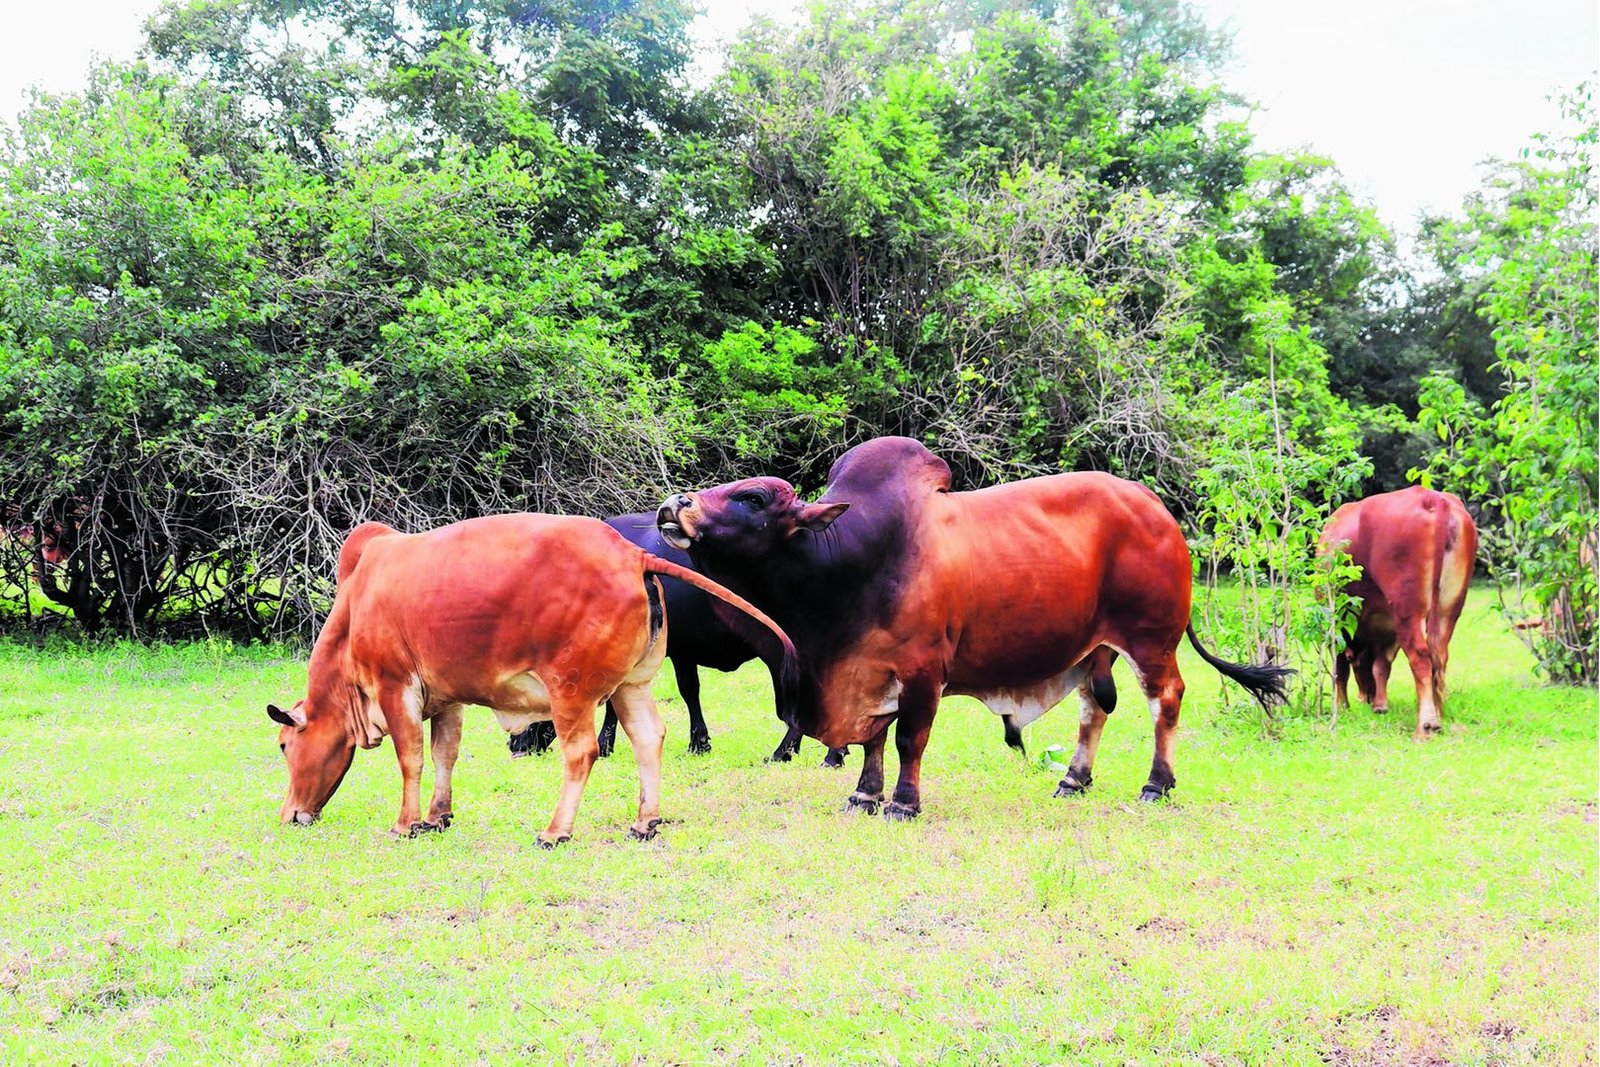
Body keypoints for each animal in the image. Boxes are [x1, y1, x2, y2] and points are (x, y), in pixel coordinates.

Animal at [266, 514, 797, 847]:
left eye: (285, 745)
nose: (290, 815)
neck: (356, 606)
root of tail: (631, 554)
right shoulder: (447, 698)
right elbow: (444, 755)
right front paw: (437, 817)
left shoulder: (395, 688)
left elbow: (410, 759)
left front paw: (403, 824)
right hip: (633, 685)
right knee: (649, 738)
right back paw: (645, 821)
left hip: (570, 690)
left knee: (581, 753)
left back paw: (556, 831)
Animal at [656, 436, 1291, 818]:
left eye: (753, 497)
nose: (673, 505)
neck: (854, 559)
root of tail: (1155, 506)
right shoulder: (870, 670)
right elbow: (873, 740)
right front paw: (864, 794)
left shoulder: (922, 672)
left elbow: (908, 739)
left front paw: (903, 803)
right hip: (1096, 648)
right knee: (1095, 706)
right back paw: (1073, 779)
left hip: (1151, 639)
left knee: (1167, 699)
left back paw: (1157, 784)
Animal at [1320, 486, 1478, 739]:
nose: (1365, 697)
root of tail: (1431, 497)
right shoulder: (1389, 629)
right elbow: (1381, 665)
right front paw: (1380, 705)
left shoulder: (1338, 621)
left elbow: (1340, 667)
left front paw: (1343, 707)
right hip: (1448, 608)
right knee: (1439, 655)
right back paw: (1438, 715)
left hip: (1407, 610)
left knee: (1420, 656)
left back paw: (1425, 725)